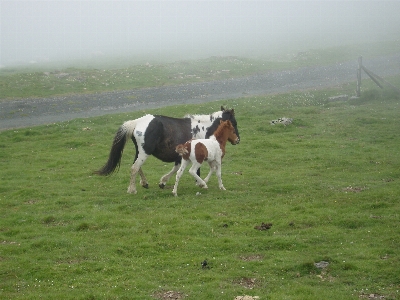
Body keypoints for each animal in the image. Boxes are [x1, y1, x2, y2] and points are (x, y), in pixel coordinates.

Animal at [95, 106, 239, 195]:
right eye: (234, 123)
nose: (238, 140)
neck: (203, 128)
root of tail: (136, 122)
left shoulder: (183, 156)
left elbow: (177, 169)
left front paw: (163, 182)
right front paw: (200, 183)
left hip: (140, 151)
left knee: (136, 166)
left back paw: (144, 183)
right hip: (144, 152)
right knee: (134, 167)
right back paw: (132, 189)